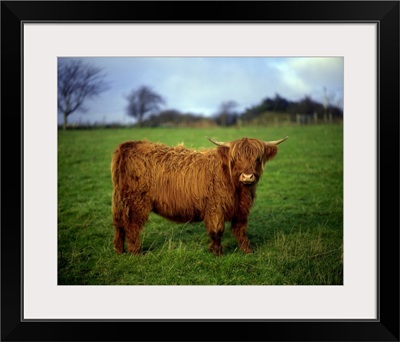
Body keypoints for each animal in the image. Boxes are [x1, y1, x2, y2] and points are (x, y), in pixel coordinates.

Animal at [111, 135, 288, 255]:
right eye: (235, 158)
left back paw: (119, 250)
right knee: (132, 225)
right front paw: (217, 252)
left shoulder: (241, 209)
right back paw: (135, 252)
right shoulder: (215, 208)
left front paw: (247, 250)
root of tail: (127, 145)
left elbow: (241, 230)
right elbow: (217, 230)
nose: (247, 176)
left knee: (119, 224)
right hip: (136, 202)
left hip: (120, 200)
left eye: (258, 158)